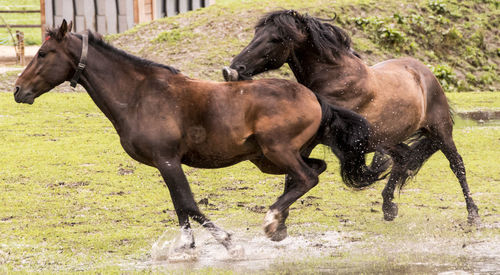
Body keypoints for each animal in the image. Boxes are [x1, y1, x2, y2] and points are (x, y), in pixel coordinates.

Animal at [12, 20, 378, 258]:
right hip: (269, 158)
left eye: (43, 53)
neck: (139, 95)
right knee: (312, 171)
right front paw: (187, 248)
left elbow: (188, 203)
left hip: (276, 151)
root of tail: (314, 98)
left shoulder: (168, 160)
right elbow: (179, 206)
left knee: (307, 177)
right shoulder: (166, 164)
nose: (17, 90)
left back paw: (272, 220)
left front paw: (230, 243)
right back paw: (279, 225)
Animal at [224, 11, 480, 226]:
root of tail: (424, 72)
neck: (335, 79)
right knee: (403, 159)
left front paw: (278, 220)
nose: (233, 69)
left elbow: (294, 176)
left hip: (440, 131)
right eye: (256, 34)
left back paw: (473, 215)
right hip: (388, 138)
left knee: (457, 165)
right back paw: (388, 207)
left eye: (276, 38)